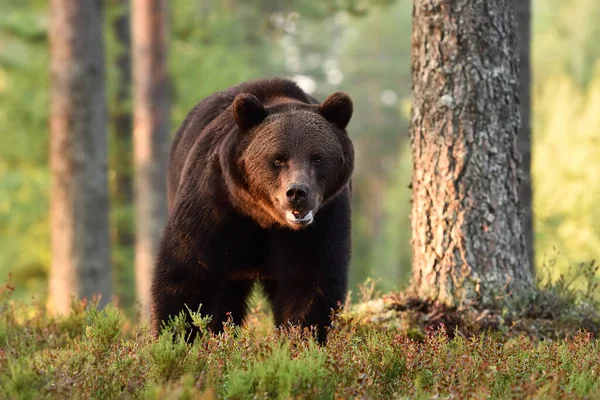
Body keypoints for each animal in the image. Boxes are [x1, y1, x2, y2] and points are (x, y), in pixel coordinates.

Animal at [150, 78, 354, 344]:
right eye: (278, 159)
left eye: (317, 158)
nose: (297, 193)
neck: (264, 218)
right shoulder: (215, 205)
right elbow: (187, 273)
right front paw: (176, 337)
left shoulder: (323, 220)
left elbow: (309, 281)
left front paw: (300, 339)